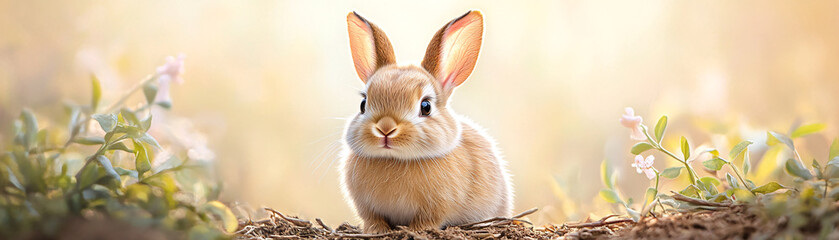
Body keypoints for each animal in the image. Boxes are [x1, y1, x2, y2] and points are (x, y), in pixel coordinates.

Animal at [340, 10, 512, 233]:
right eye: (363, 104)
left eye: (426, 106)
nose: (385, 128)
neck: (394, 160)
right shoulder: (367, 207)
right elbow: (373, 218)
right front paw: (377, 230)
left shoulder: (437, 206)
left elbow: (426, 221)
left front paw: (415, 231)